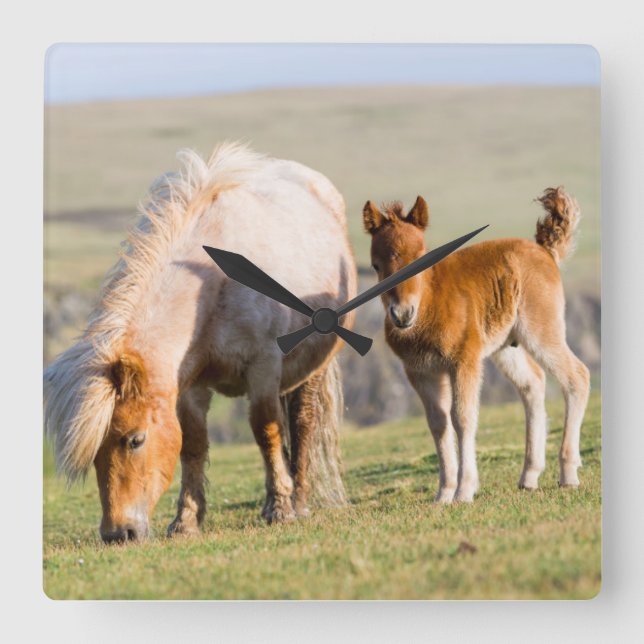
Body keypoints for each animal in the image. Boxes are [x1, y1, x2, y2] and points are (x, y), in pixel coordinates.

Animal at [44, 142, 356, 543]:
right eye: (95, 453)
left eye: (135, 440)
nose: (118, 534)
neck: (212, 283)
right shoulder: (189, 386)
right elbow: (192, 444)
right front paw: (186, 521)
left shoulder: (263, 367)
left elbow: (266, 430)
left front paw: (280, 509)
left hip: (312, 367)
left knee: (303, 424)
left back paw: (298, 501)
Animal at [363, 187, 590, 503]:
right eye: (376, 265)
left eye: (421, 256)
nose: (402, 313)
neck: (431, 304)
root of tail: (544, 250)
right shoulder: (420, 371)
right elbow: (438, 424)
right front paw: (444, 494)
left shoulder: (464, 360)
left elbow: (463, 418)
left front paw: (464, 490)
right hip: (506, 346)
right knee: (533, 383)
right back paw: (529, 476)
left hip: (541, 330)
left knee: (576, 376)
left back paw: (568, 473)